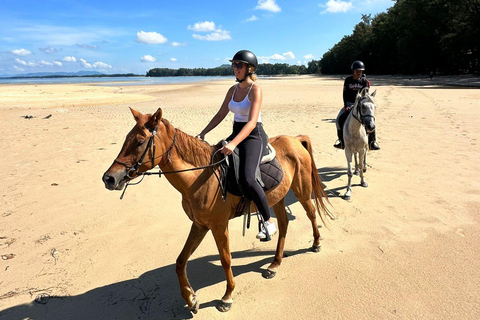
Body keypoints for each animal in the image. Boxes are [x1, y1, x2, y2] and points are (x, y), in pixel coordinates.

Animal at [102, 109, 330, 314]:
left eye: (140, 142)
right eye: (126, 139)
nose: (109, 178)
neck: (201, 177)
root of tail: (295, 139)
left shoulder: (219, 226)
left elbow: (225, 259)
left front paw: (227, 297)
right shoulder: (200, 225)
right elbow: (180, 261)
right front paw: (191, 299)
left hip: (302, 191)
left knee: (311, 214)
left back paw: (316, 244)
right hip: (277, 198)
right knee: (283, 224)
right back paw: (274, 264)